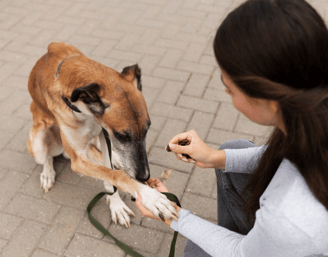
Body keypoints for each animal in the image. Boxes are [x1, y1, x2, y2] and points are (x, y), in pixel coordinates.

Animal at [26, 42, 178, 226]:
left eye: (147, 129)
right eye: (122, 136)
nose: (144, 177)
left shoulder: (104, 135)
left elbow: (109, 174)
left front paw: (116, 204)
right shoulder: (78, 160)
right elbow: (114, 175)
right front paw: (150, 197)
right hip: (38, 143)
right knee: (47, 157)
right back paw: (48, 174)